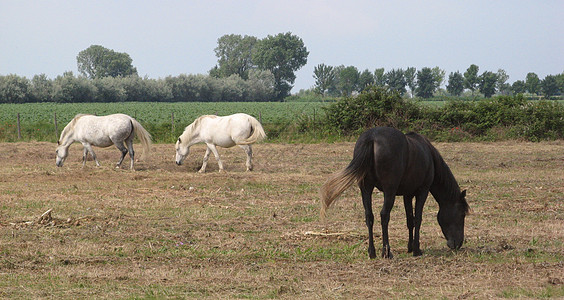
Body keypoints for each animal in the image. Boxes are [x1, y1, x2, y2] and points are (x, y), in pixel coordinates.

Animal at [320, 126, 470, 258]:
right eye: (462, 214)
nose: (458, 244)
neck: (429, 155)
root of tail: (372, 137)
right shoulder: (422, 191)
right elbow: (418, 219)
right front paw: (416, 249)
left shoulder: (407, 194)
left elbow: (410, 220)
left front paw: (410, 247)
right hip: (389, 191)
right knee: (384, 215)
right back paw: (386, 252)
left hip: (366, 189)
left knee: (369, 216)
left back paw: (372, 252)